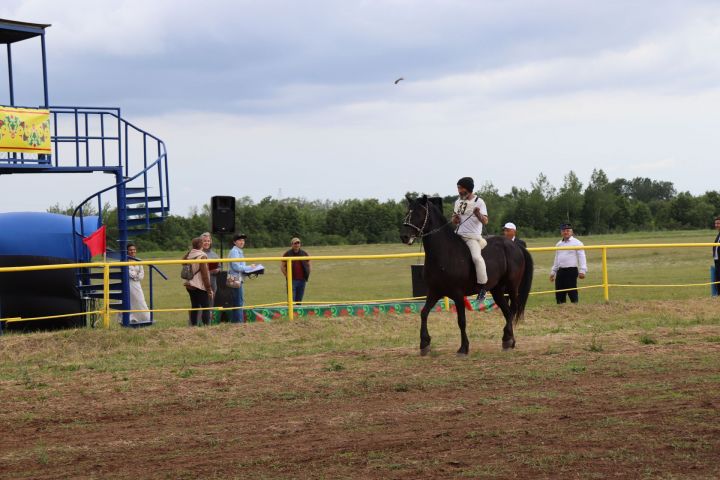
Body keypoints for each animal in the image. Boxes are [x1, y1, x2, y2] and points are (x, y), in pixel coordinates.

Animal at [400, 195, 536, 356]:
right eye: (407, 211)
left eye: (419, 213)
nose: (404, 236)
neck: (444, 253)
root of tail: (515, 246)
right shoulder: (434, 292)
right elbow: (424, 313)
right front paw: (424, 344)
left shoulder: (458, 294)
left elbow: (461, 320)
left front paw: (463, 348)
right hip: (497, 290)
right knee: (507, 312)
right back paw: (508, 340)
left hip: (512, 286)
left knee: (513, 309)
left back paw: (508, 338)